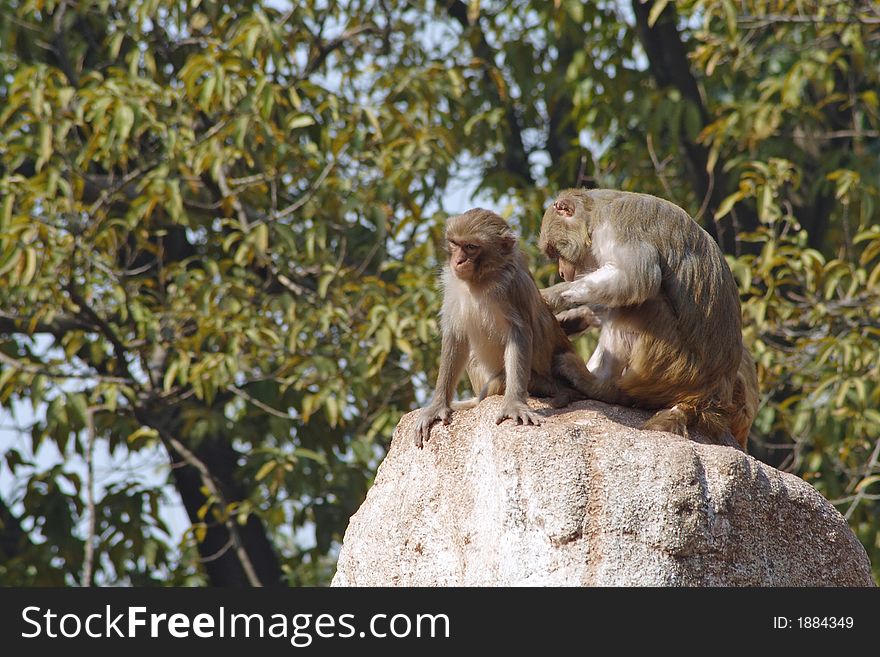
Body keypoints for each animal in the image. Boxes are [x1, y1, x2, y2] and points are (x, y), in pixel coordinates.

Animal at [414, 208, 600, 448]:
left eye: (471, 247)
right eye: (455, 244)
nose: (459, 260)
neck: (480, 279)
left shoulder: (512, 287)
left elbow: (519, 335)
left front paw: (513, 404)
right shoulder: (453, 284)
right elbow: (456, 337)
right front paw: (438, 406)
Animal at [536, 187, 756, 448]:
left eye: (554, 251)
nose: (562, 272)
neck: (594, 214)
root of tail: (707, 399)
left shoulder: (617, 225)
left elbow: (637, 278)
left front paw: (553, 295)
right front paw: (575, 317)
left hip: (668, 365)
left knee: (641, 303)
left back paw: (598, 386)